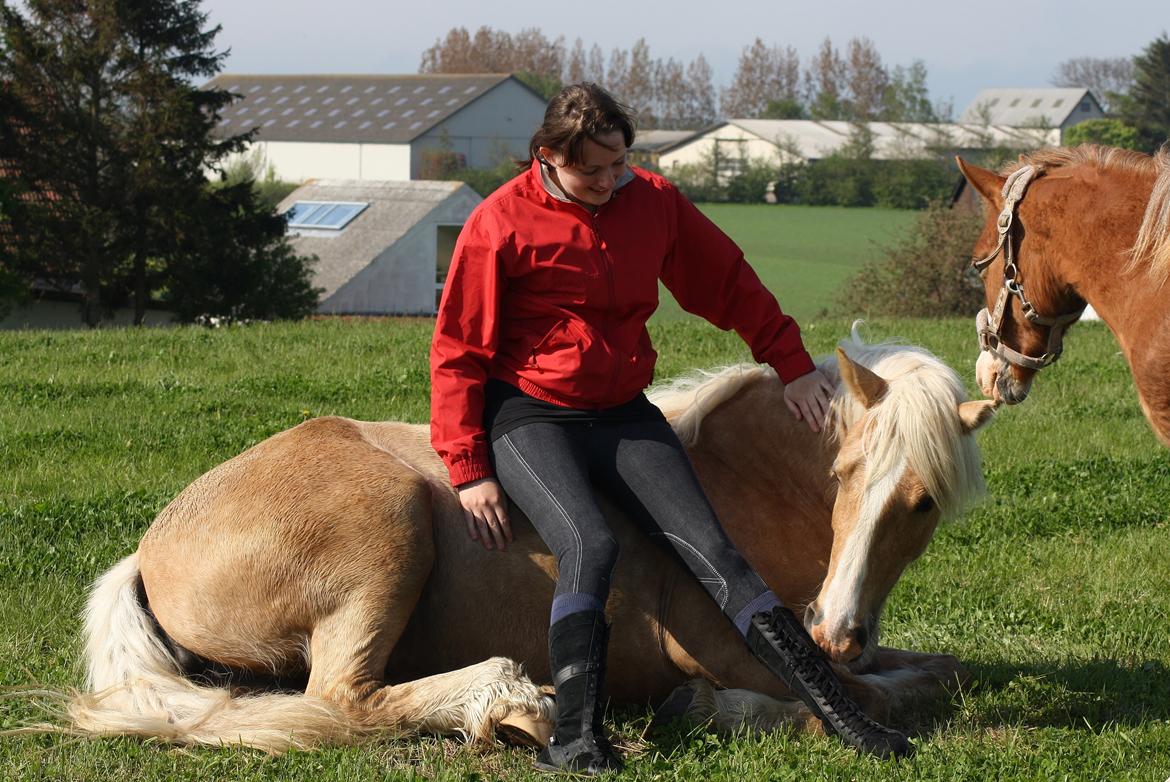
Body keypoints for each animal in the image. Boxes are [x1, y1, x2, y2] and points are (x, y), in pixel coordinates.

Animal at [47, 332, 996, 753]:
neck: (732, 485)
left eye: (921, 504)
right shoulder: (729, 645)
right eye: (843, 473)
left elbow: (939, 671)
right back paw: (515, 702)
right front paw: (713, 708)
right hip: (386, 527)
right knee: (343, 696)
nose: (836, 627)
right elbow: (867, 698)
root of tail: (149, 551)